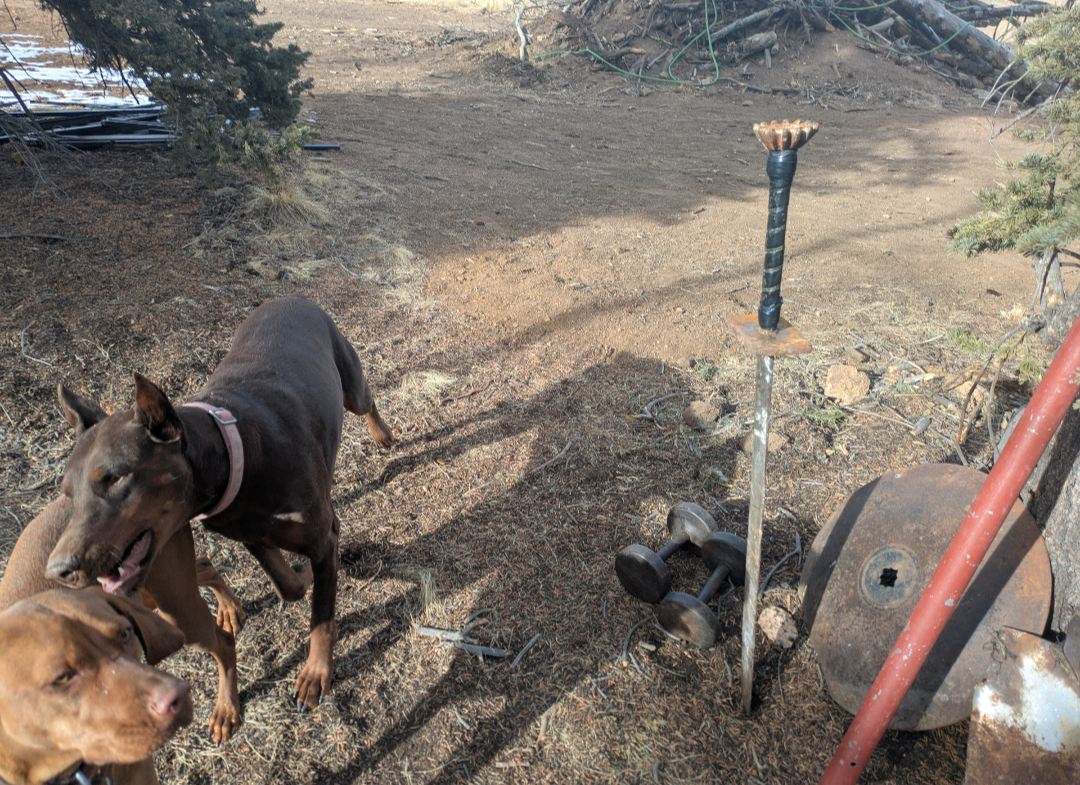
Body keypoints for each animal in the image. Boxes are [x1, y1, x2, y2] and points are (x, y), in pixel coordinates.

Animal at [47, 296, 394, 714]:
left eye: (115, 477)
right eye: (67, 491)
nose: (57, 570)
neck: (234, 455)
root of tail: (290, 297)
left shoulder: (320, 539)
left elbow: (322, 616)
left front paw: (315, 674)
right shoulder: (250, 534)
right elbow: (288, 586)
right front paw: (302, 575)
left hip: (350, 385)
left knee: (367, 400)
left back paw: (383, 434)